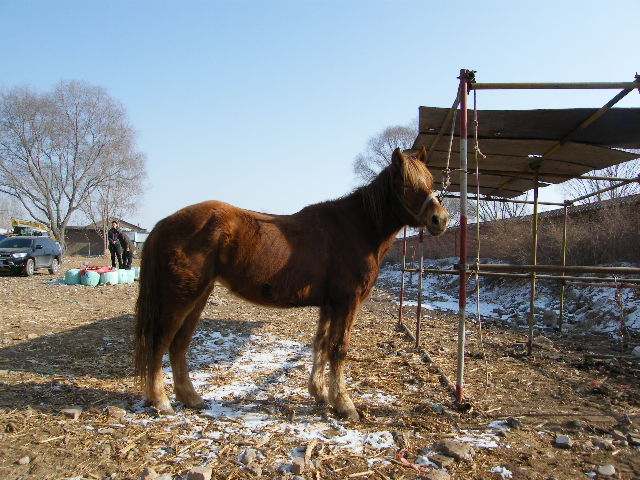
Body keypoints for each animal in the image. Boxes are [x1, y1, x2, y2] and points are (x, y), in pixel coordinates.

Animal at [134, 147, 449, 420]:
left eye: (431, 181)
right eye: (406, 184)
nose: (440, 220)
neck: (357, 228)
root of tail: (165, 223)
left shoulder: (330, 305)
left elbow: (321, 343)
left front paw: (320, 393)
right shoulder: (346, 302)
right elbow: (339, 349)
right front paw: (344, 404)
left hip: (198, 297)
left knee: (179, 345)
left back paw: (190, 398)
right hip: (181, 298)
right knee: (160, 343)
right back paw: (161, 401)